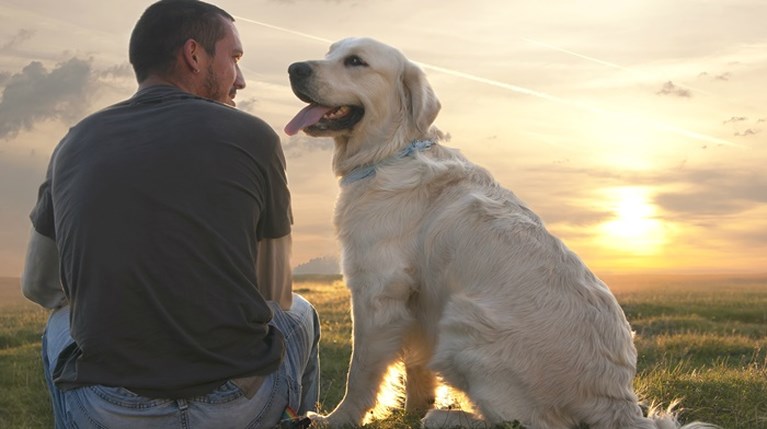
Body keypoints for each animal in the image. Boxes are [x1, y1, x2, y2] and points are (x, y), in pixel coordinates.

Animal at [284, 37, 716, 428]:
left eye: (356, 61)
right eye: (329, 52)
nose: (294, 68)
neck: (390, 153)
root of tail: (617, 401)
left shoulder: (377, 290)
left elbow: (361, 372)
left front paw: (337, 419)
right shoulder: (417, 300)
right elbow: (416, 366)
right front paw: (412, 408)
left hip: (464, 323)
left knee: (531, 424)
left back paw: (447, 418)